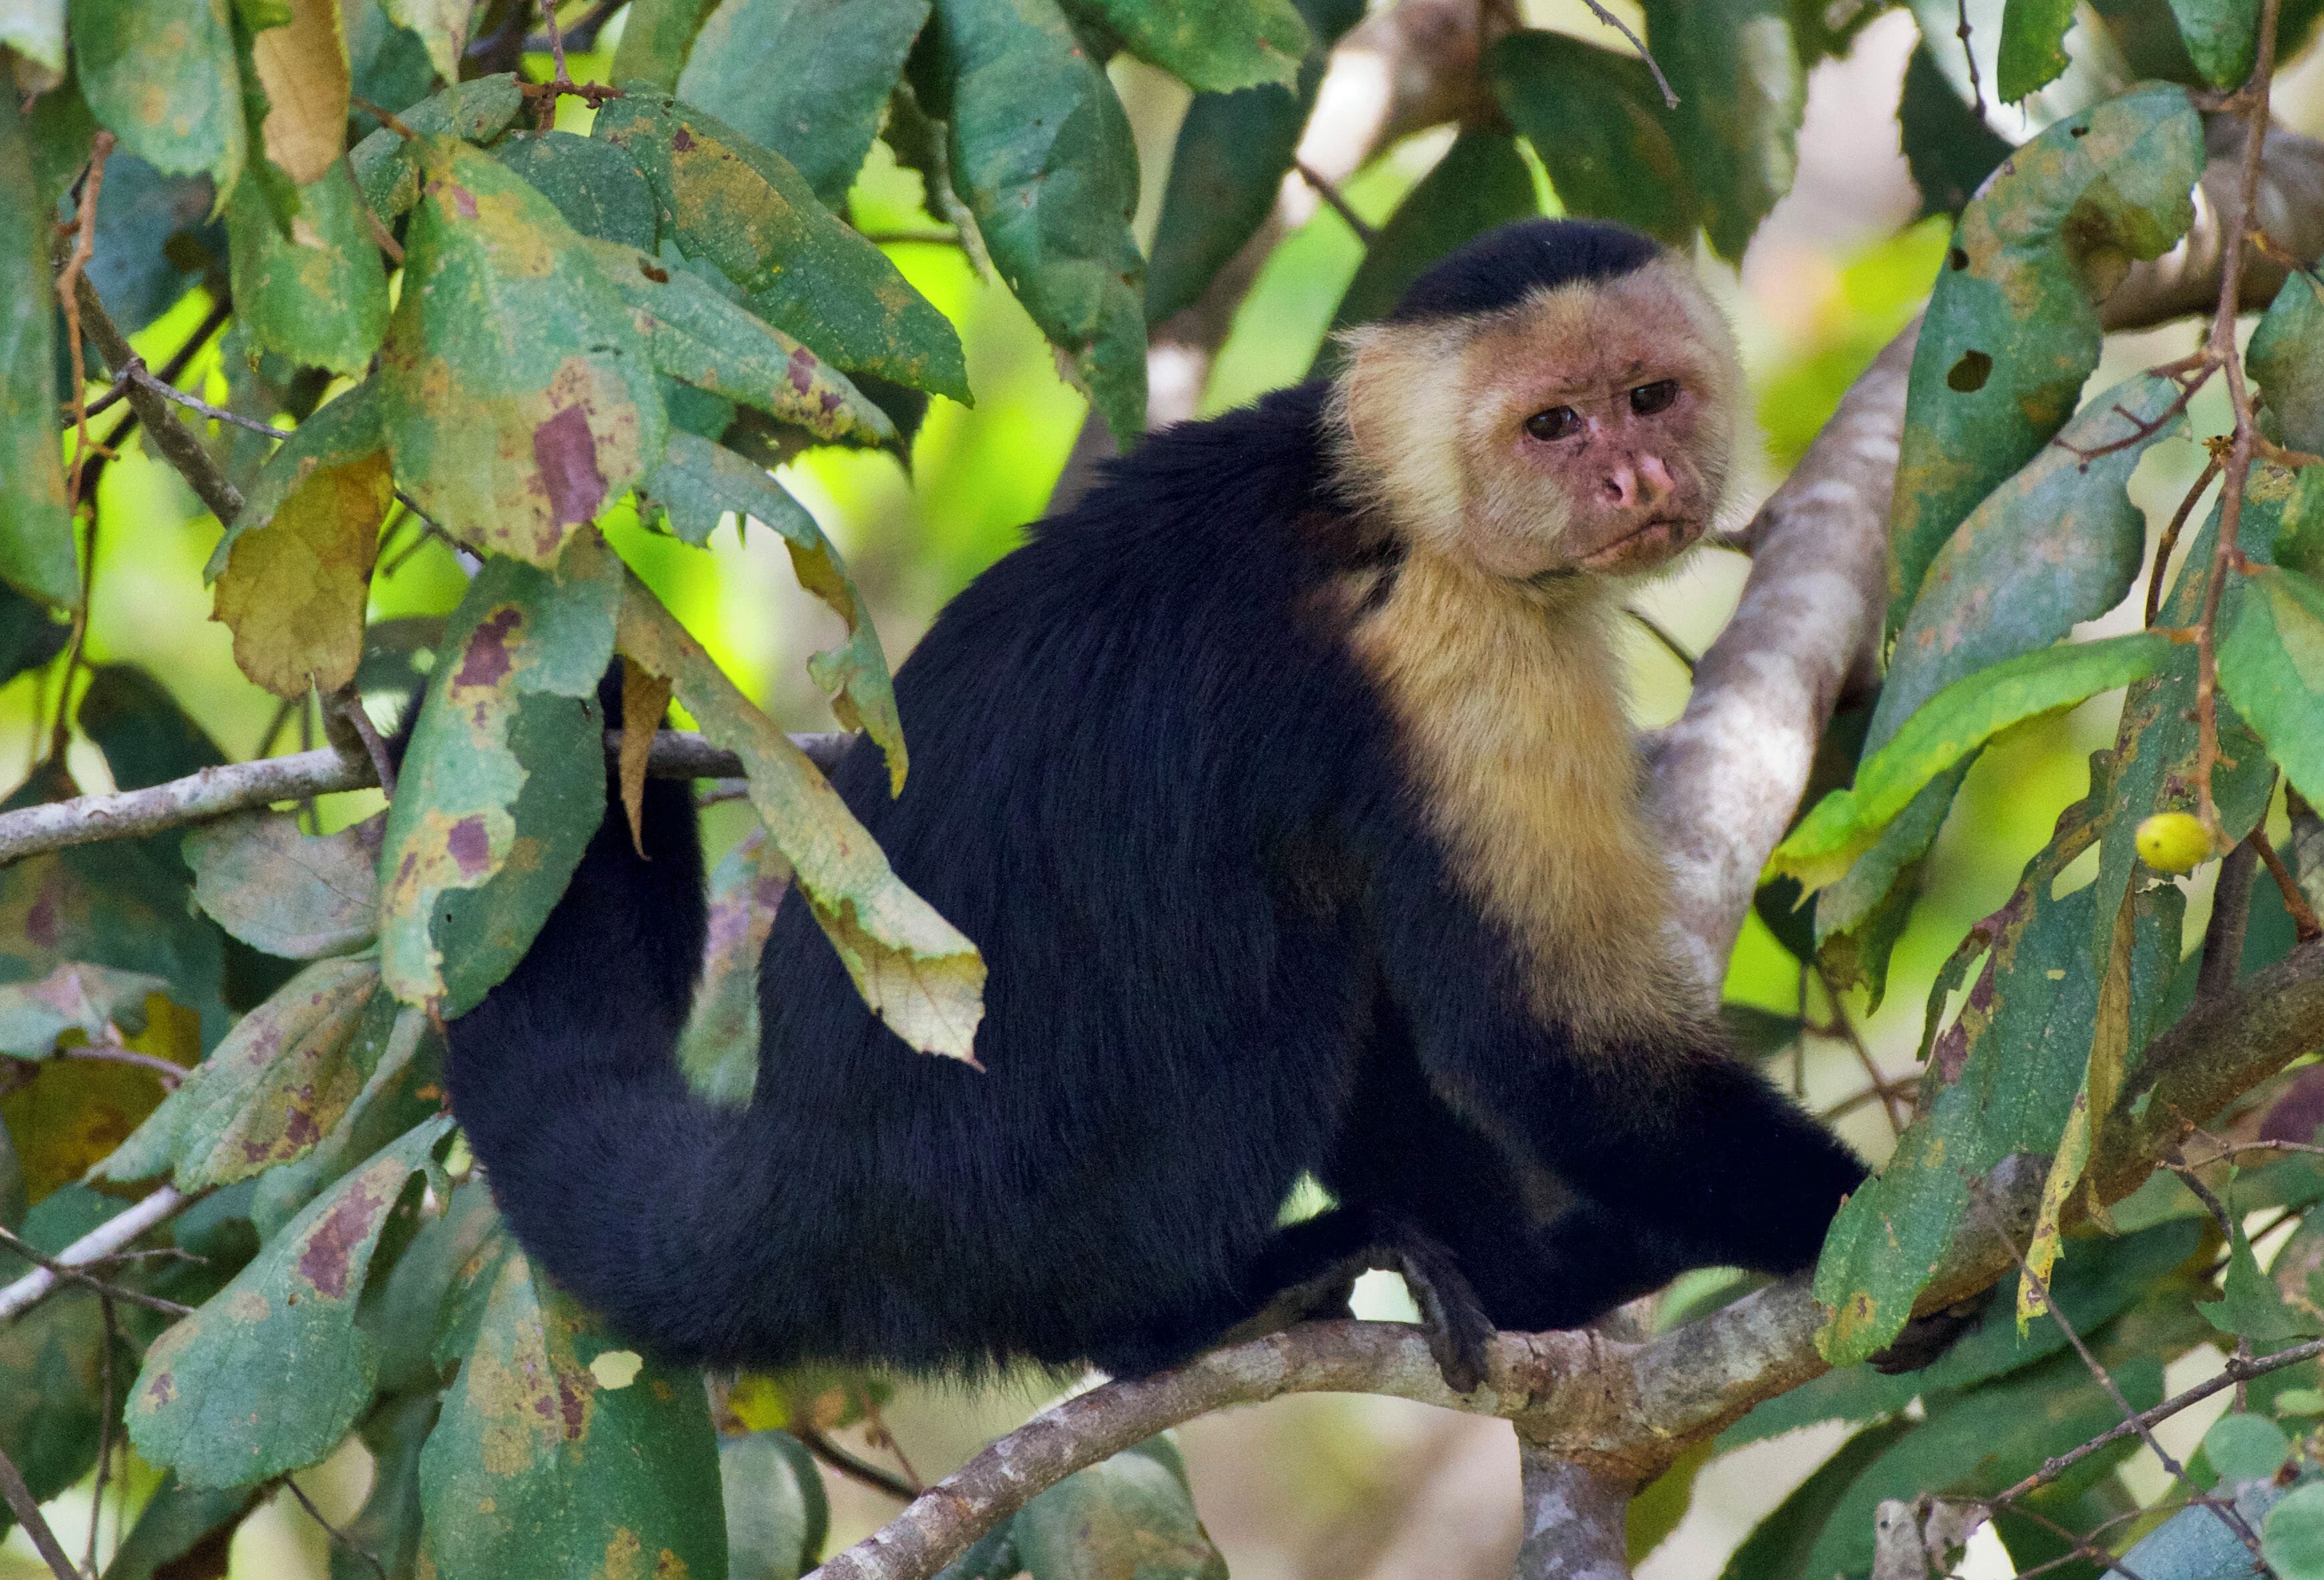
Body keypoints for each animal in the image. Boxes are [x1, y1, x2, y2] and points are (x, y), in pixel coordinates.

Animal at [442, 218, 1963, 1391]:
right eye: (1550, 425)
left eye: (1649, 397)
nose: (1633, 477)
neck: (1387, 510)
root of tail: (811, 1177)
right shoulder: (1454, 652)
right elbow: (1549, 1048)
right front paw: (1871, 1228)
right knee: (1296, 960)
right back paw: (1231, 1307)